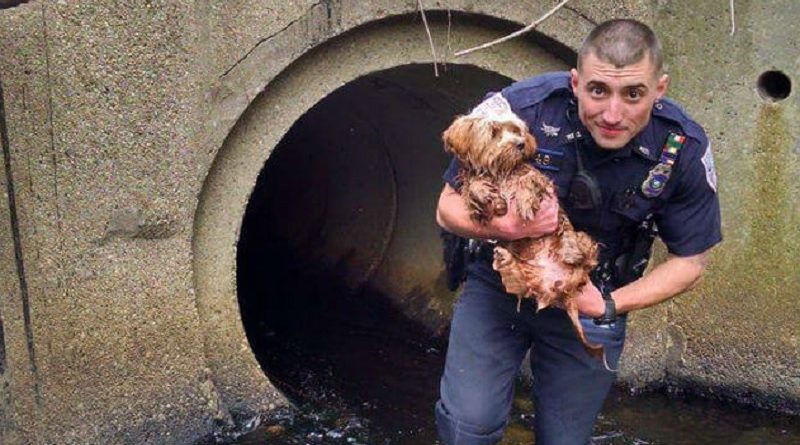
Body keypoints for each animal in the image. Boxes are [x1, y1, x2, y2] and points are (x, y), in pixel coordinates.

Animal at [440, 93, 604, 358]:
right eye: (494, 132)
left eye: (516, 130)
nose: (520, 144)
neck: (501, 170)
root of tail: (562, 289)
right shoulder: (474, 188)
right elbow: (473, 188)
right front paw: (484, 194)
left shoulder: (539, 181)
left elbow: (529, 180)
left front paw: (525, 201)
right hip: (526, 275)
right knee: (519, 284)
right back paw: (506, 261)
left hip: (580, 243)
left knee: (585, 255)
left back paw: (571, 249)